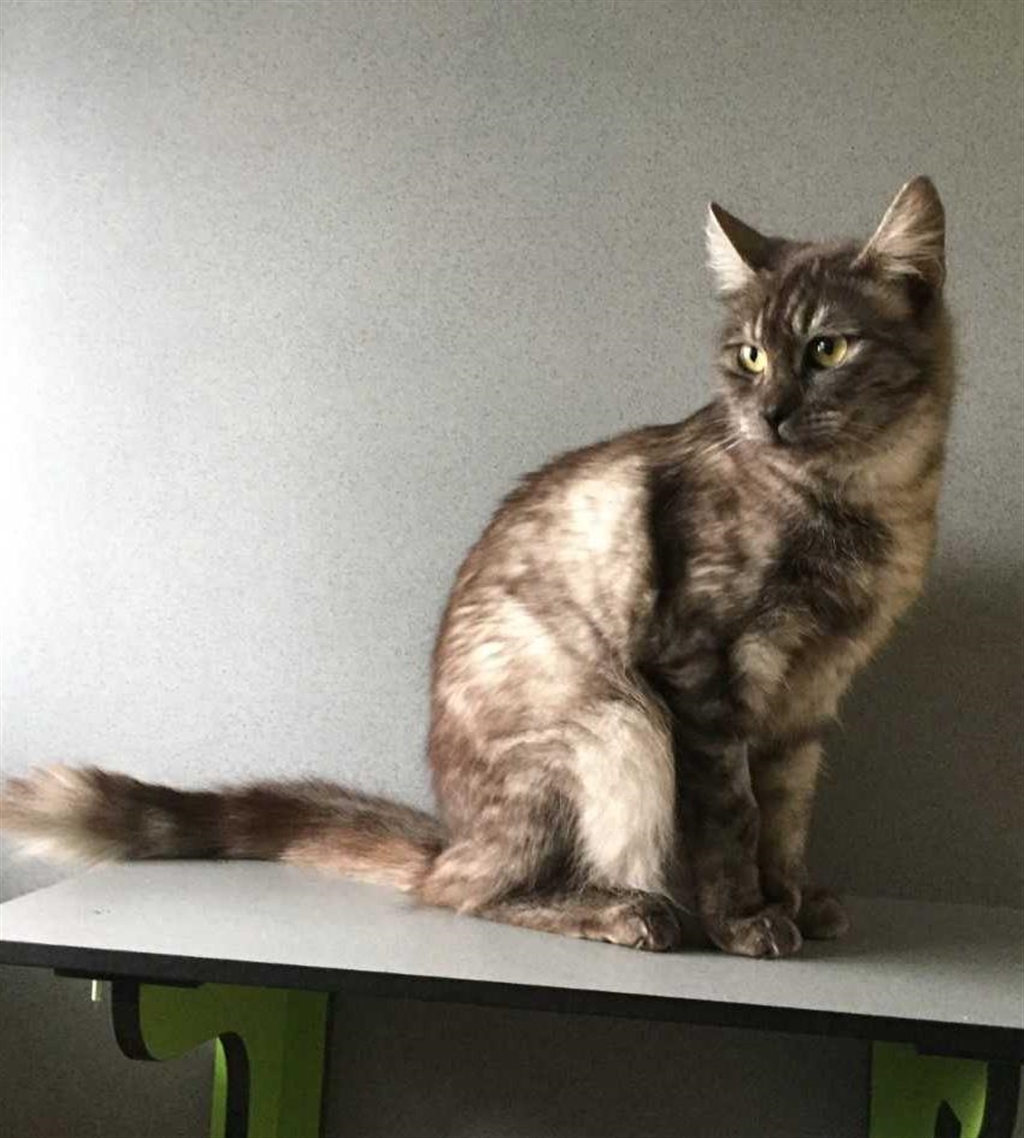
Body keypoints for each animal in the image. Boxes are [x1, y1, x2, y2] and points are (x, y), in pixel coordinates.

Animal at [0, 177, 952, 958]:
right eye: (750, 355)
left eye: (828, 350)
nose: (772, 412)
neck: (862, 506)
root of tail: (453, 835)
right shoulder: (702, 672)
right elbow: (731, 814)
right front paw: (744, 919)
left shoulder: (810, 698)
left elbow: (786, 812)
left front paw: (792, 899)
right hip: (614, 721)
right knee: (468, 892)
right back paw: (627, 911)